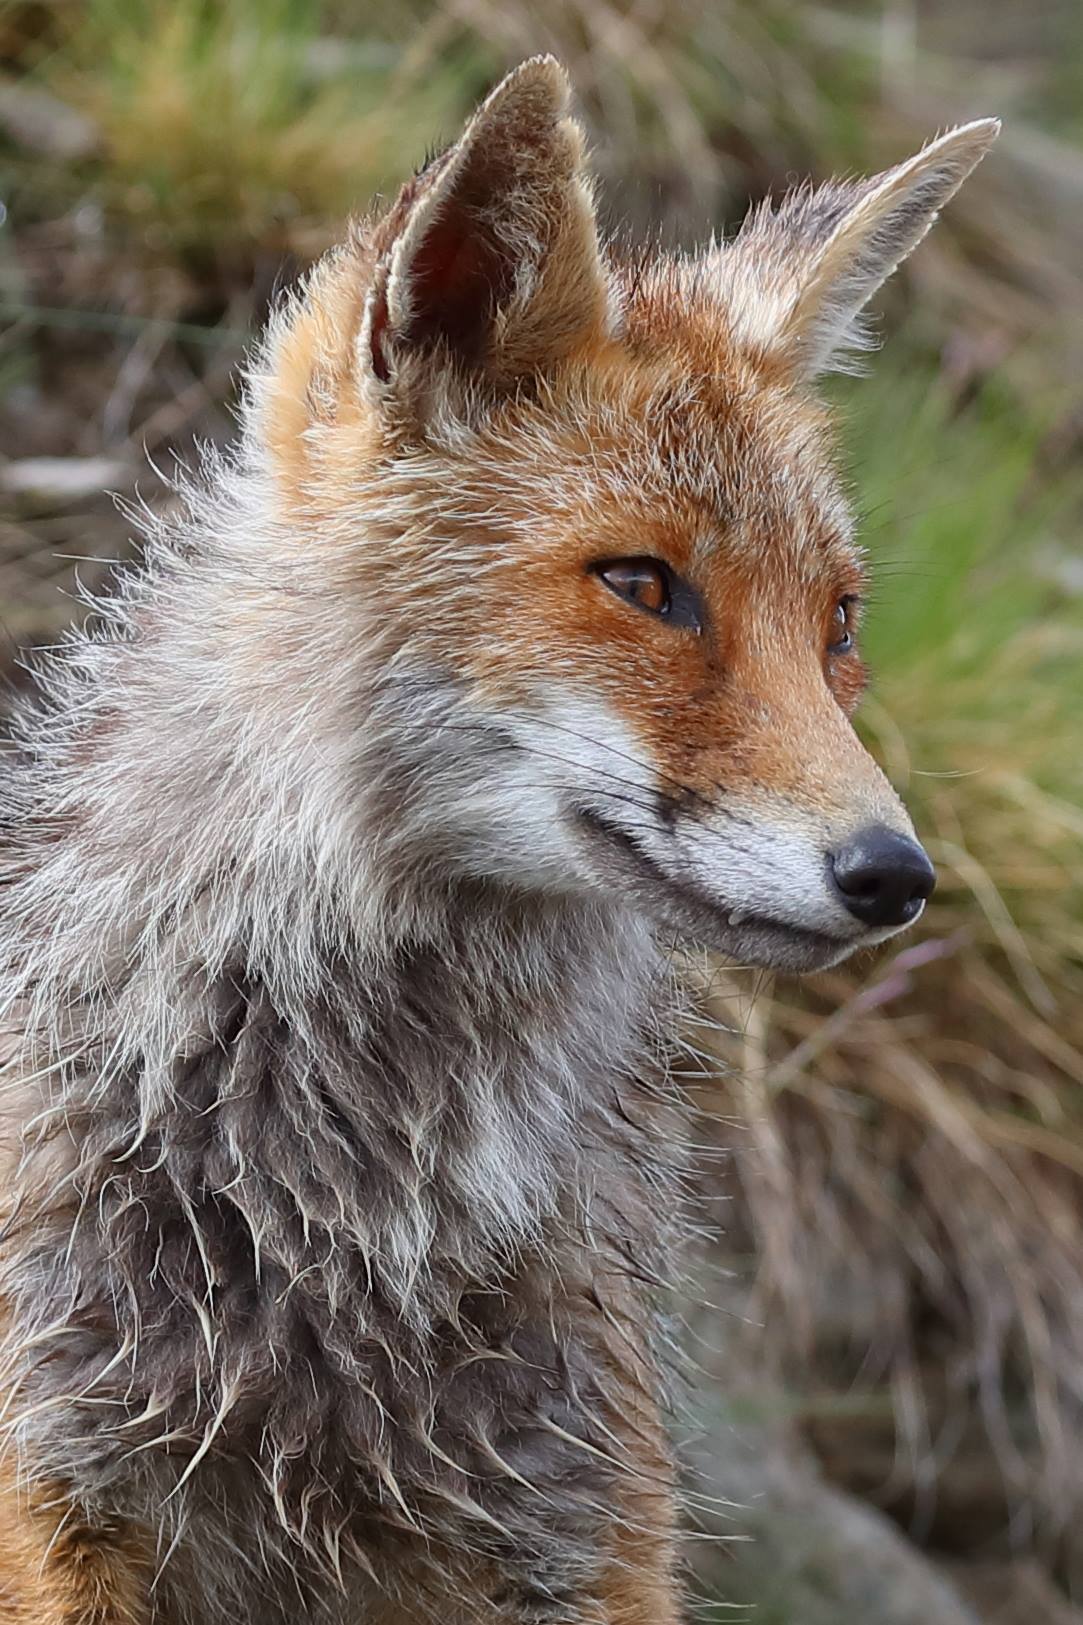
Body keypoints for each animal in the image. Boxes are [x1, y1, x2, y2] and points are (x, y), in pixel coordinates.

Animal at [0, 55, 996, 1625]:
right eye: (643, 584)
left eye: (836, 621)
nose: (894, 877)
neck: (343, 1221)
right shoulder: (63, 1487)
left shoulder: (582, 1520)